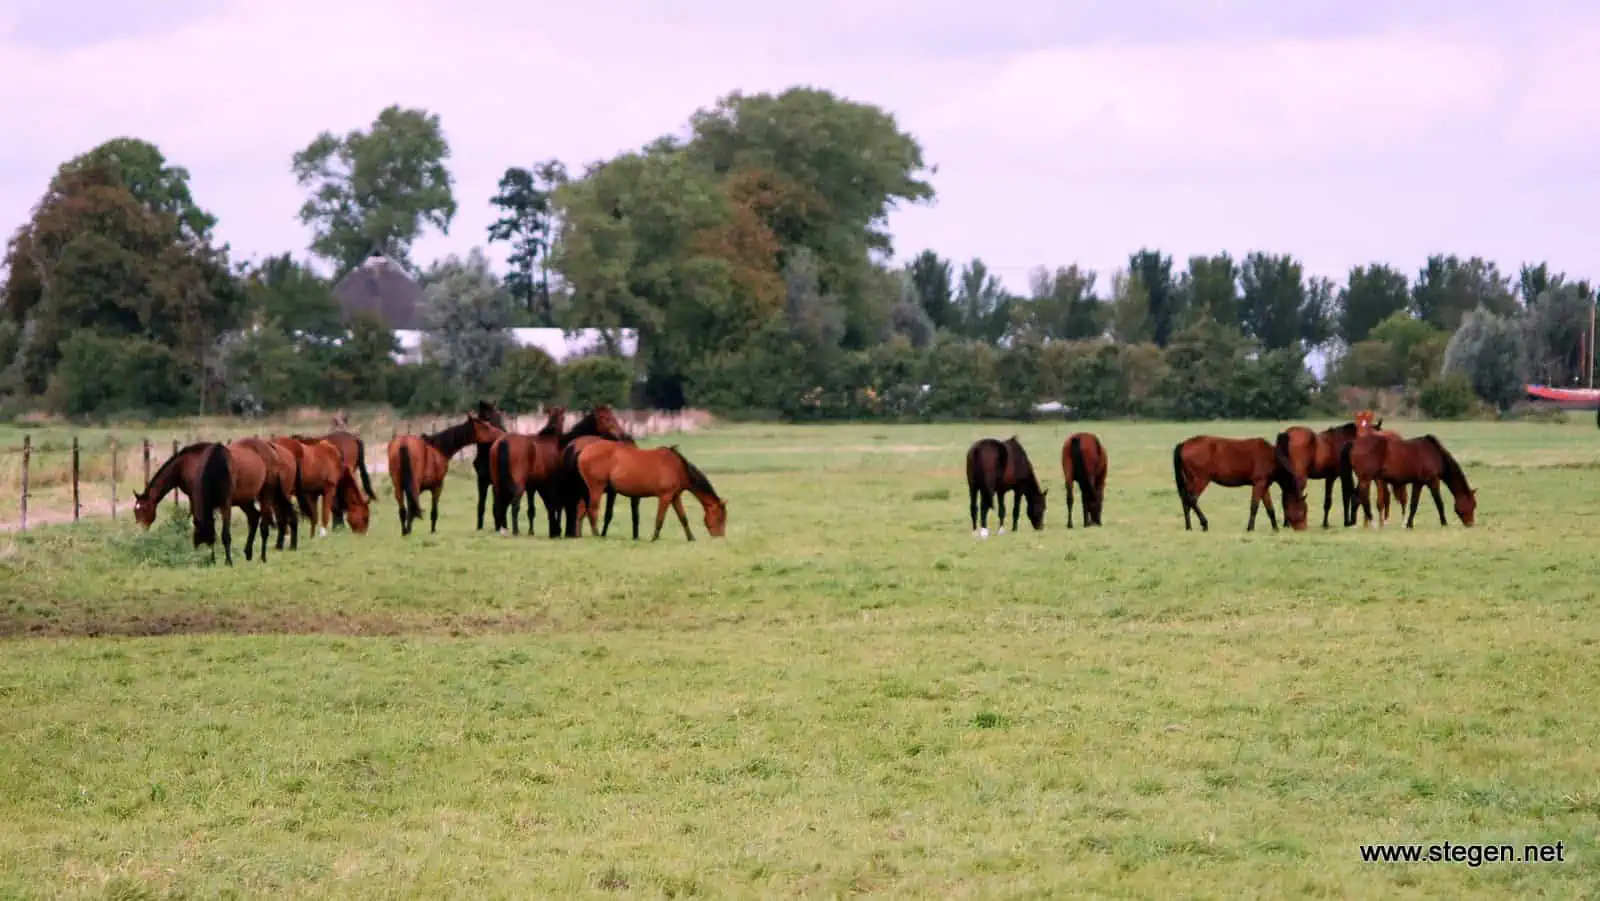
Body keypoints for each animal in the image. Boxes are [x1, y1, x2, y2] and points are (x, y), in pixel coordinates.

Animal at [570, 442, 726, 540]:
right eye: (720, 517)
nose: (720, 536)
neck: (678, 468)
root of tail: (584, 450)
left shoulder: (675, 497)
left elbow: (683, 518)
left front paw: (691, 538)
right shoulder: (665, 497)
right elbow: (659, 519)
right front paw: (654, 538)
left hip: (588, 491)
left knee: (581, 510)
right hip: (596, 488)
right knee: (592, 510)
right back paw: (596, 534)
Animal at [1172, 435, 1301, 532]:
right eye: (1301, 510)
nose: (1300, 528)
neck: (1272, 457)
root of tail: (1184, 444)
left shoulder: (1264, 486)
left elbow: (1270, 508)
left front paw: (1275, 528)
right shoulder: (1259, 484)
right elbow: (1254, 506)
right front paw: (1250, 528)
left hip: (1189, 481)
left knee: (1186, 501)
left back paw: (1189, 527)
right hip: (1200, 480)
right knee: (1192, 499)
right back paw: (1204, 524)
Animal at [1340, 433, 1477, 528]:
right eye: (1472, 504)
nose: (1470, 524)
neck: (1434, 454)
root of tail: (1354, 443)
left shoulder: (1418, 483)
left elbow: (1414, 504)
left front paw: (1409, 524)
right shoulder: (1433, 481)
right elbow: (1439, 502)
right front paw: (1444, 522)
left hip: (1364, 479)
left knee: (1356, 497)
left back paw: (1353, 522)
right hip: (1366, 479)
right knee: (1363, 497)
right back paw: (1372, 523)